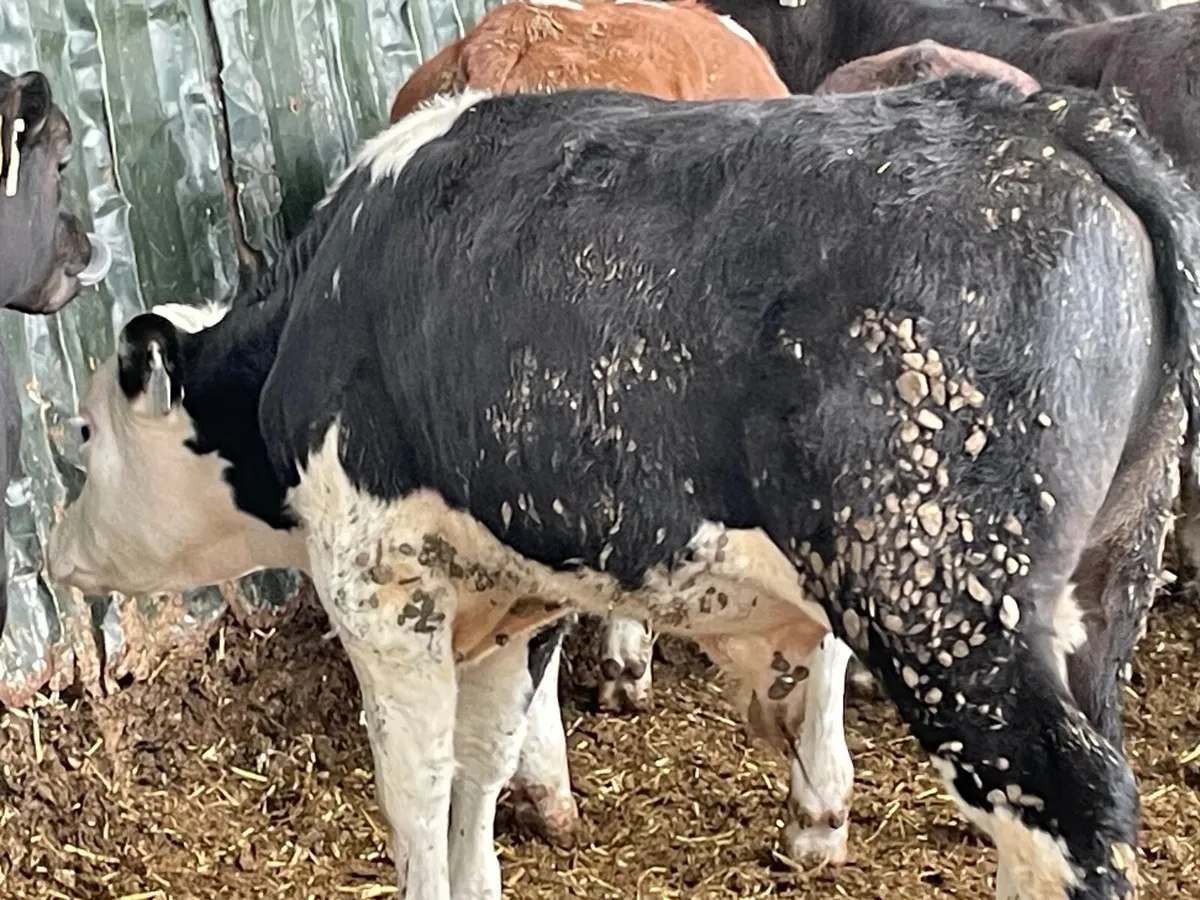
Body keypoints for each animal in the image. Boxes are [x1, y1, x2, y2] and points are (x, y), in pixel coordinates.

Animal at [46, 77, 1200, 899]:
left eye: (86, 430)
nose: (57, 555)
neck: (324, 299)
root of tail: (1059, 123)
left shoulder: (378, 586)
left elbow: (416, 788)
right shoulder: (514, 596)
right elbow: (481, 773)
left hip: (943, 604)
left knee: (1069, 810)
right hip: (1095, 597)